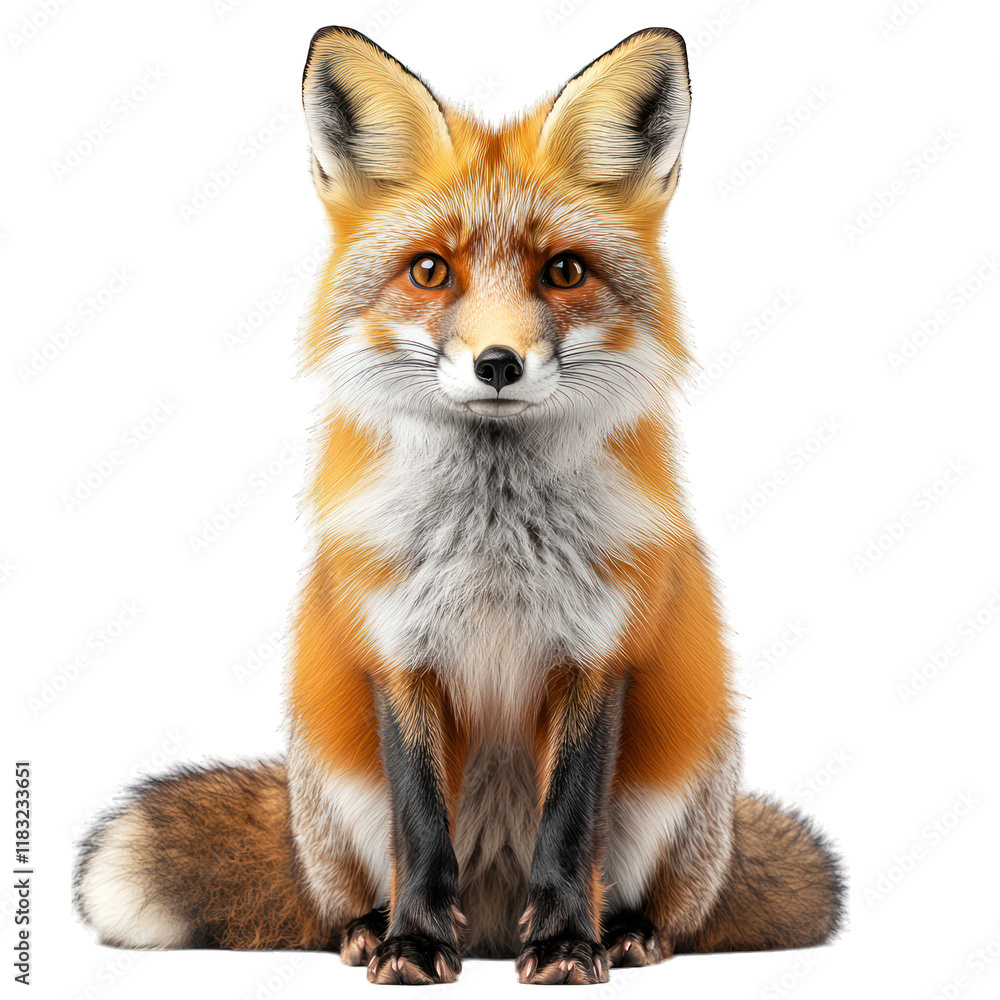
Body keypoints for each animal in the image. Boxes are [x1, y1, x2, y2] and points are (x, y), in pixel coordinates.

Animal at [74, 26, 845, 985]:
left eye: (564, 271)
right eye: (431, 271)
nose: (498, 364)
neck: (494, 546)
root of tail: (489, 923)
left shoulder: (596, 654)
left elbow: (569, 831)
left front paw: (566, 943)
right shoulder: (400, 652)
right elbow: (420, 829)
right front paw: (410, 942)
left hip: (688, 791)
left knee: (671, 907)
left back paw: (626, 933)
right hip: (328, 792)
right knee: (357, 888)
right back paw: (371, 929)